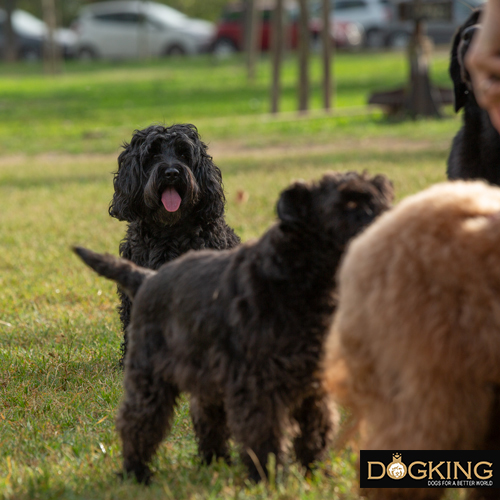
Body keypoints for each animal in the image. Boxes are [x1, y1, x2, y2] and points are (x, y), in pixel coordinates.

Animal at [74, 171, 394, 484]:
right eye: (347, 204)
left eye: (380, 197)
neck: (294, 277)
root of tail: (146, 279)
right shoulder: (257, 384)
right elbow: (263, 431)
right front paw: (268, 478)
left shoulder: (312, 382)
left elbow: (316, 429)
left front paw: (316, 473)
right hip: (149, 376)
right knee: (138, 421)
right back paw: (136, 472)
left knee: (205, 416)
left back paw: (214, 460)